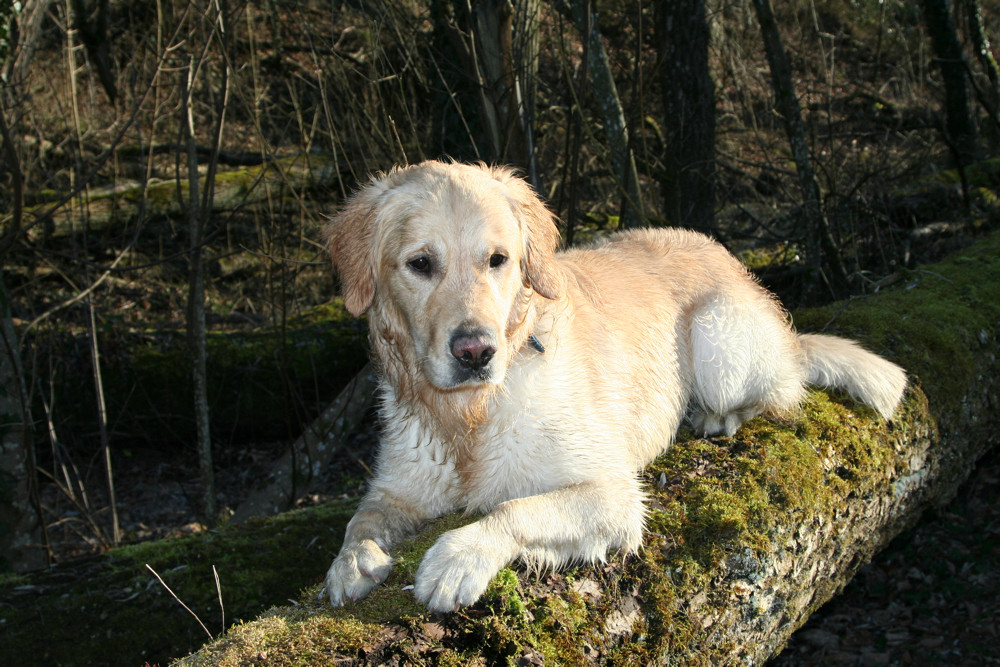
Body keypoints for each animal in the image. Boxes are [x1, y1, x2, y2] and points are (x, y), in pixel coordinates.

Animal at [320, 160, 908, 612]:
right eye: (420, 264)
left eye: (498, 260)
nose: (475, 352)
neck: (469, 415)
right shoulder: (398, 485)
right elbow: (361, 519)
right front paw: (350, 562)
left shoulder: (613, 495)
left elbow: (515, 508)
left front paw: (459, 555)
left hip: (717, 337)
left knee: (780, 392)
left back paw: (716, 416)